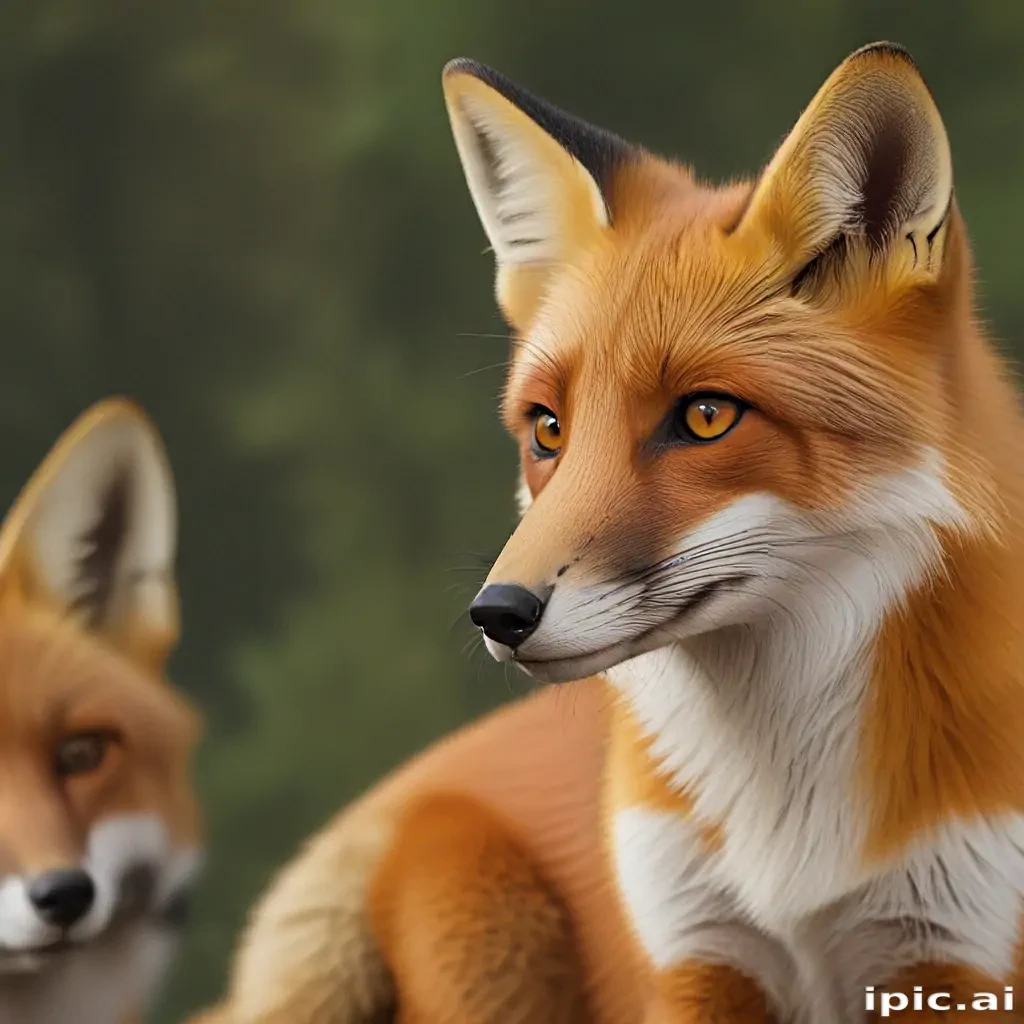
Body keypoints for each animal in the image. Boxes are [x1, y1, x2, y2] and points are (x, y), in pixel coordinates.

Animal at [193, 40, 1024, 1023]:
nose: (499, 613)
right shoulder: (696, 958)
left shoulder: (958, 961)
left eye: (706, 417)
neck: (784, 824)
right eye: (548, 430)